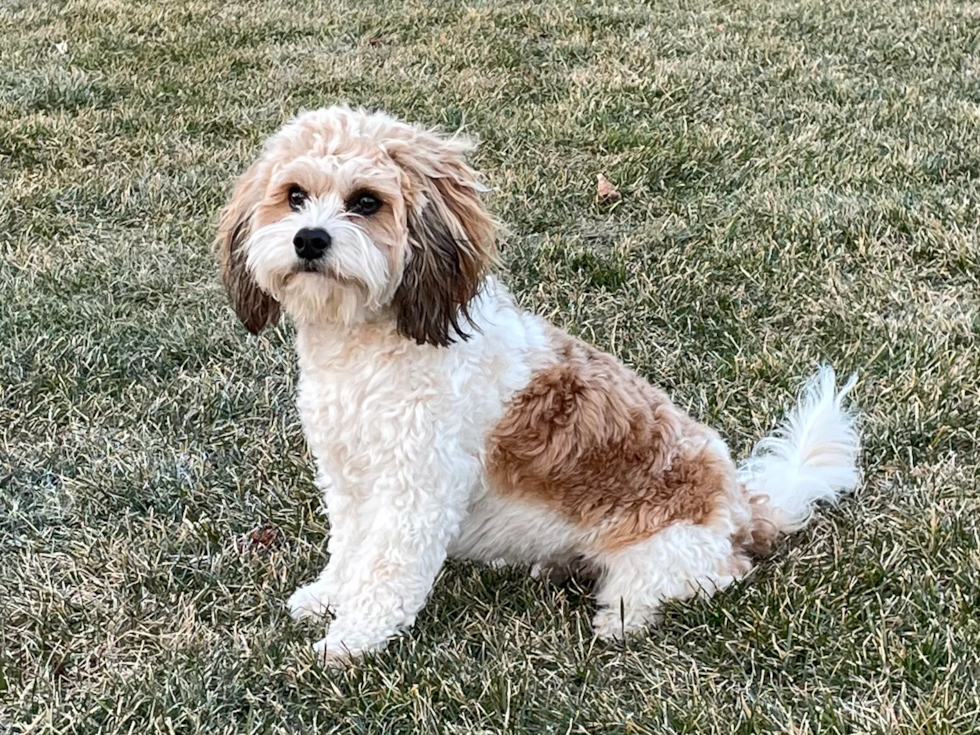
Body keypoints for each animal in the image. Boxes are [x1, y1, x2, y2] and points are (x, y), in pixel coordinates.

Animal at [218, 106, 860, 664]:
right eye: (294, 195)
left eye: (366, 202)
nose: (309, 239)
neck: (370, 346)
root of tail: (744, 510)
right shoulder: (349, 475)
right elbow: (349, 546)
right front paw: (327, 597)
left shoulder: (416, 487)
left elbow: (385, 568)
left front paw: (353, 637)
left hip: (666, 550)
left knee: (696, 581)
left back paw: (620, 619)